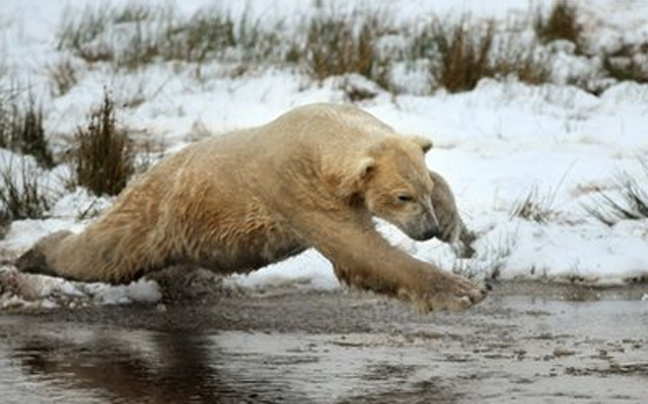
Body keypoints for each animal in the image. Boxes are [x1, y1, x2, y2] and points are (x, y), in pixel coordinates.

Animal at [17, 102, 486, 310]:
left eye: (421, 190)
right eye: (401, 197)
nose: (427, 230)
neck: (318, 130)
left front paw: (454, 224)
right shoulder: (295, 186)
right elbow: (358, 250)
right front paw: (465, 290)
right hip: (156, 211)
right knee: (105, 252)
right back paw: (31, 255)